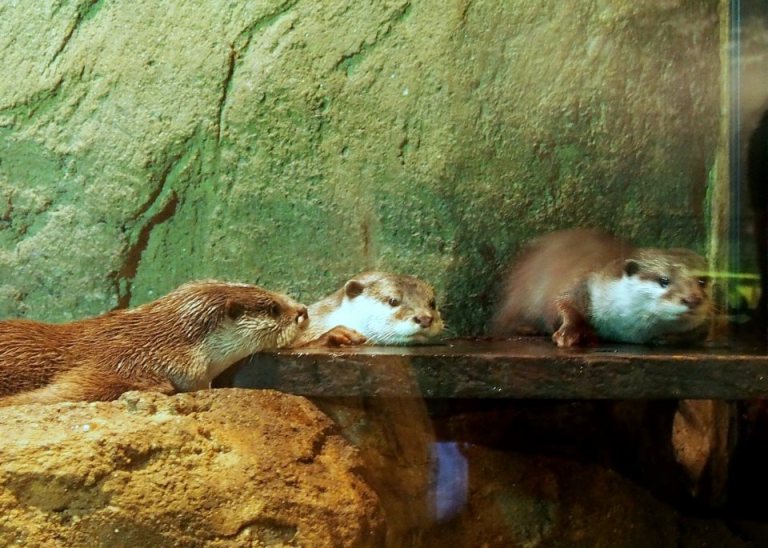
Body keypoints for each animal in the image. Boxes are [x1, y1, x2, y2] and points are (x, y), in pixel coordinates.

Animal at [490, 229, 712, 347]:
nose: (692, 299)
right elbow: (561, 302)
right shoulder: (583, 280)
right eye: (664, 280)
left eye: (702, 281)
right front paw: (568, 333)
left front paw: (667, 338)